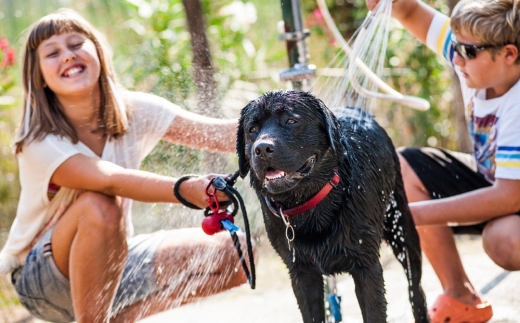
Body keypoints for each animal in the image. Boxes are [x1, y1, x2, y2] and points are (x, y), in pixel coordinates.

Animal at [238, 90, 428, 322]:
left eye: (291, 121)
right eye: (252, 130)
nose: (263, 148)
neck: (311, 205)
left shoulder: (366, 266)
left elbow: (374, 312)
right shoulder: (301, 272)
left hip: (402, 231)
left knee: (416, 290)